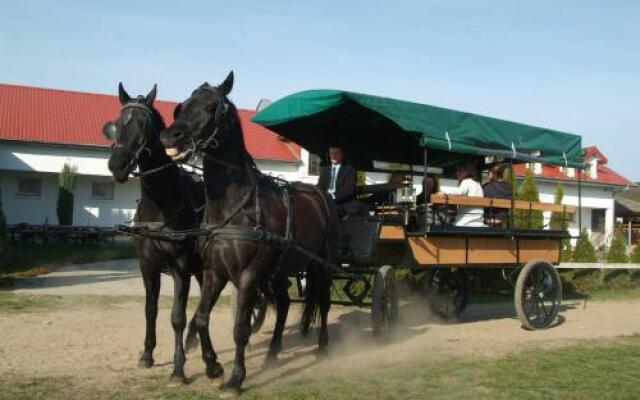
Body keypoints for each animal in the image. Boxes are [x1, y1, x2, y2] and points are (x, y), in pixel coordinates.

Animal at [105, 83, 205, 382]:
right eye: (116, 124)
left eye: (142, 124)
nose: (117, 165)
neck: (160, 208)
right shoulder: (147, 266)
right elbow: (151, 310)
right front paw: (147, 354)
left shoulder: (182, 268)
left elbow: (177, 317)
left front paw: (178, 369)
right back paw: (195, 338)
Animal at [160, 72, 338, 394]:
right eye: (182, 105)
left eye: (211, 107)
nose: (169, 137)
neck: (234, 208)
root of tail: (320, 192)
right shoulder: (214, 272)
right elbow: (201, 319)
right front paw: (213, 366)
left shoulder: (247, 276)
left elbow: (240, 329)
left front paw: (235, 378)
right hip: (280, 270)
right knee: (283, 305)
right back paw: (272, 353)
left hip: (322, 265)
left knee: (324, 301)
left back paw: (323, 347)